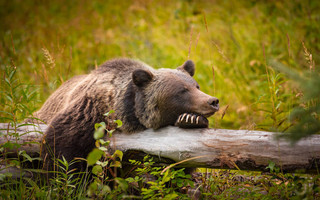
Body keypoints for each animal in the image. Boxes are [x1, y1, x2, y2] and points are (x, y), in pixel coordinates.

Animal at [35, 58, 220, 172]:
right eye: (182, 90)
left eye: (196, 86)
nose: (213, 101)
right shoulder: (88, 114)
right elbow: (61, 149)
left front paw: (191, 119)